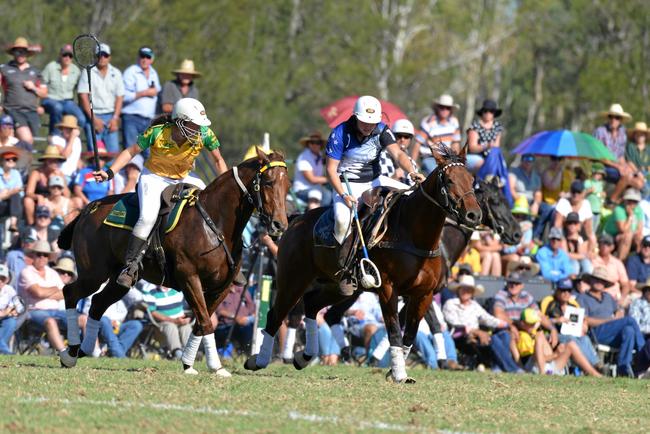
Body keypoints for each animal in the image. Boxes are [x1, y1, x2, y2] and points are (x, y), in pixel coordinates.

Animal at [58, 148, 288, 372]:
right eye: (268, 182)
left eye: (286, 186)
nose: (280, 225)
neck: (215, 224)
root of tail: (89, 208)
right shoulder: (189, 277)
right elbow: (205, 322)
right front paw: (213, 366)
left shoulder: (221, 287)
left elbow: (201, 323)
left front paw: (191, 363)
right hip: (94, 273)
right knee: (70, 292)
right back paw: (70, 352)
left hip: (118, 280)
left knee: (97, 303)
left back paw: (82, 350)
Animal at [243, 147, 480, 384]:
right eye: (449, 180)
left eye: (472, 180)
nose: (474, 215)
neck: (415, 235)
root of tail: (294, 219)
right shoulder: (388, 288)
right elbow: (394, 330)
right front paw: (399, 374)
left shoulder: (424, 294)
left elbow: (410, 334)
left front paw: (395, 371)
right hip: (292, 280)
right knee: (277, 315)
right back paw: (258, 360)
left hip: (339, 287)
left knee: (312, 305)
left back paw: (304, 356)